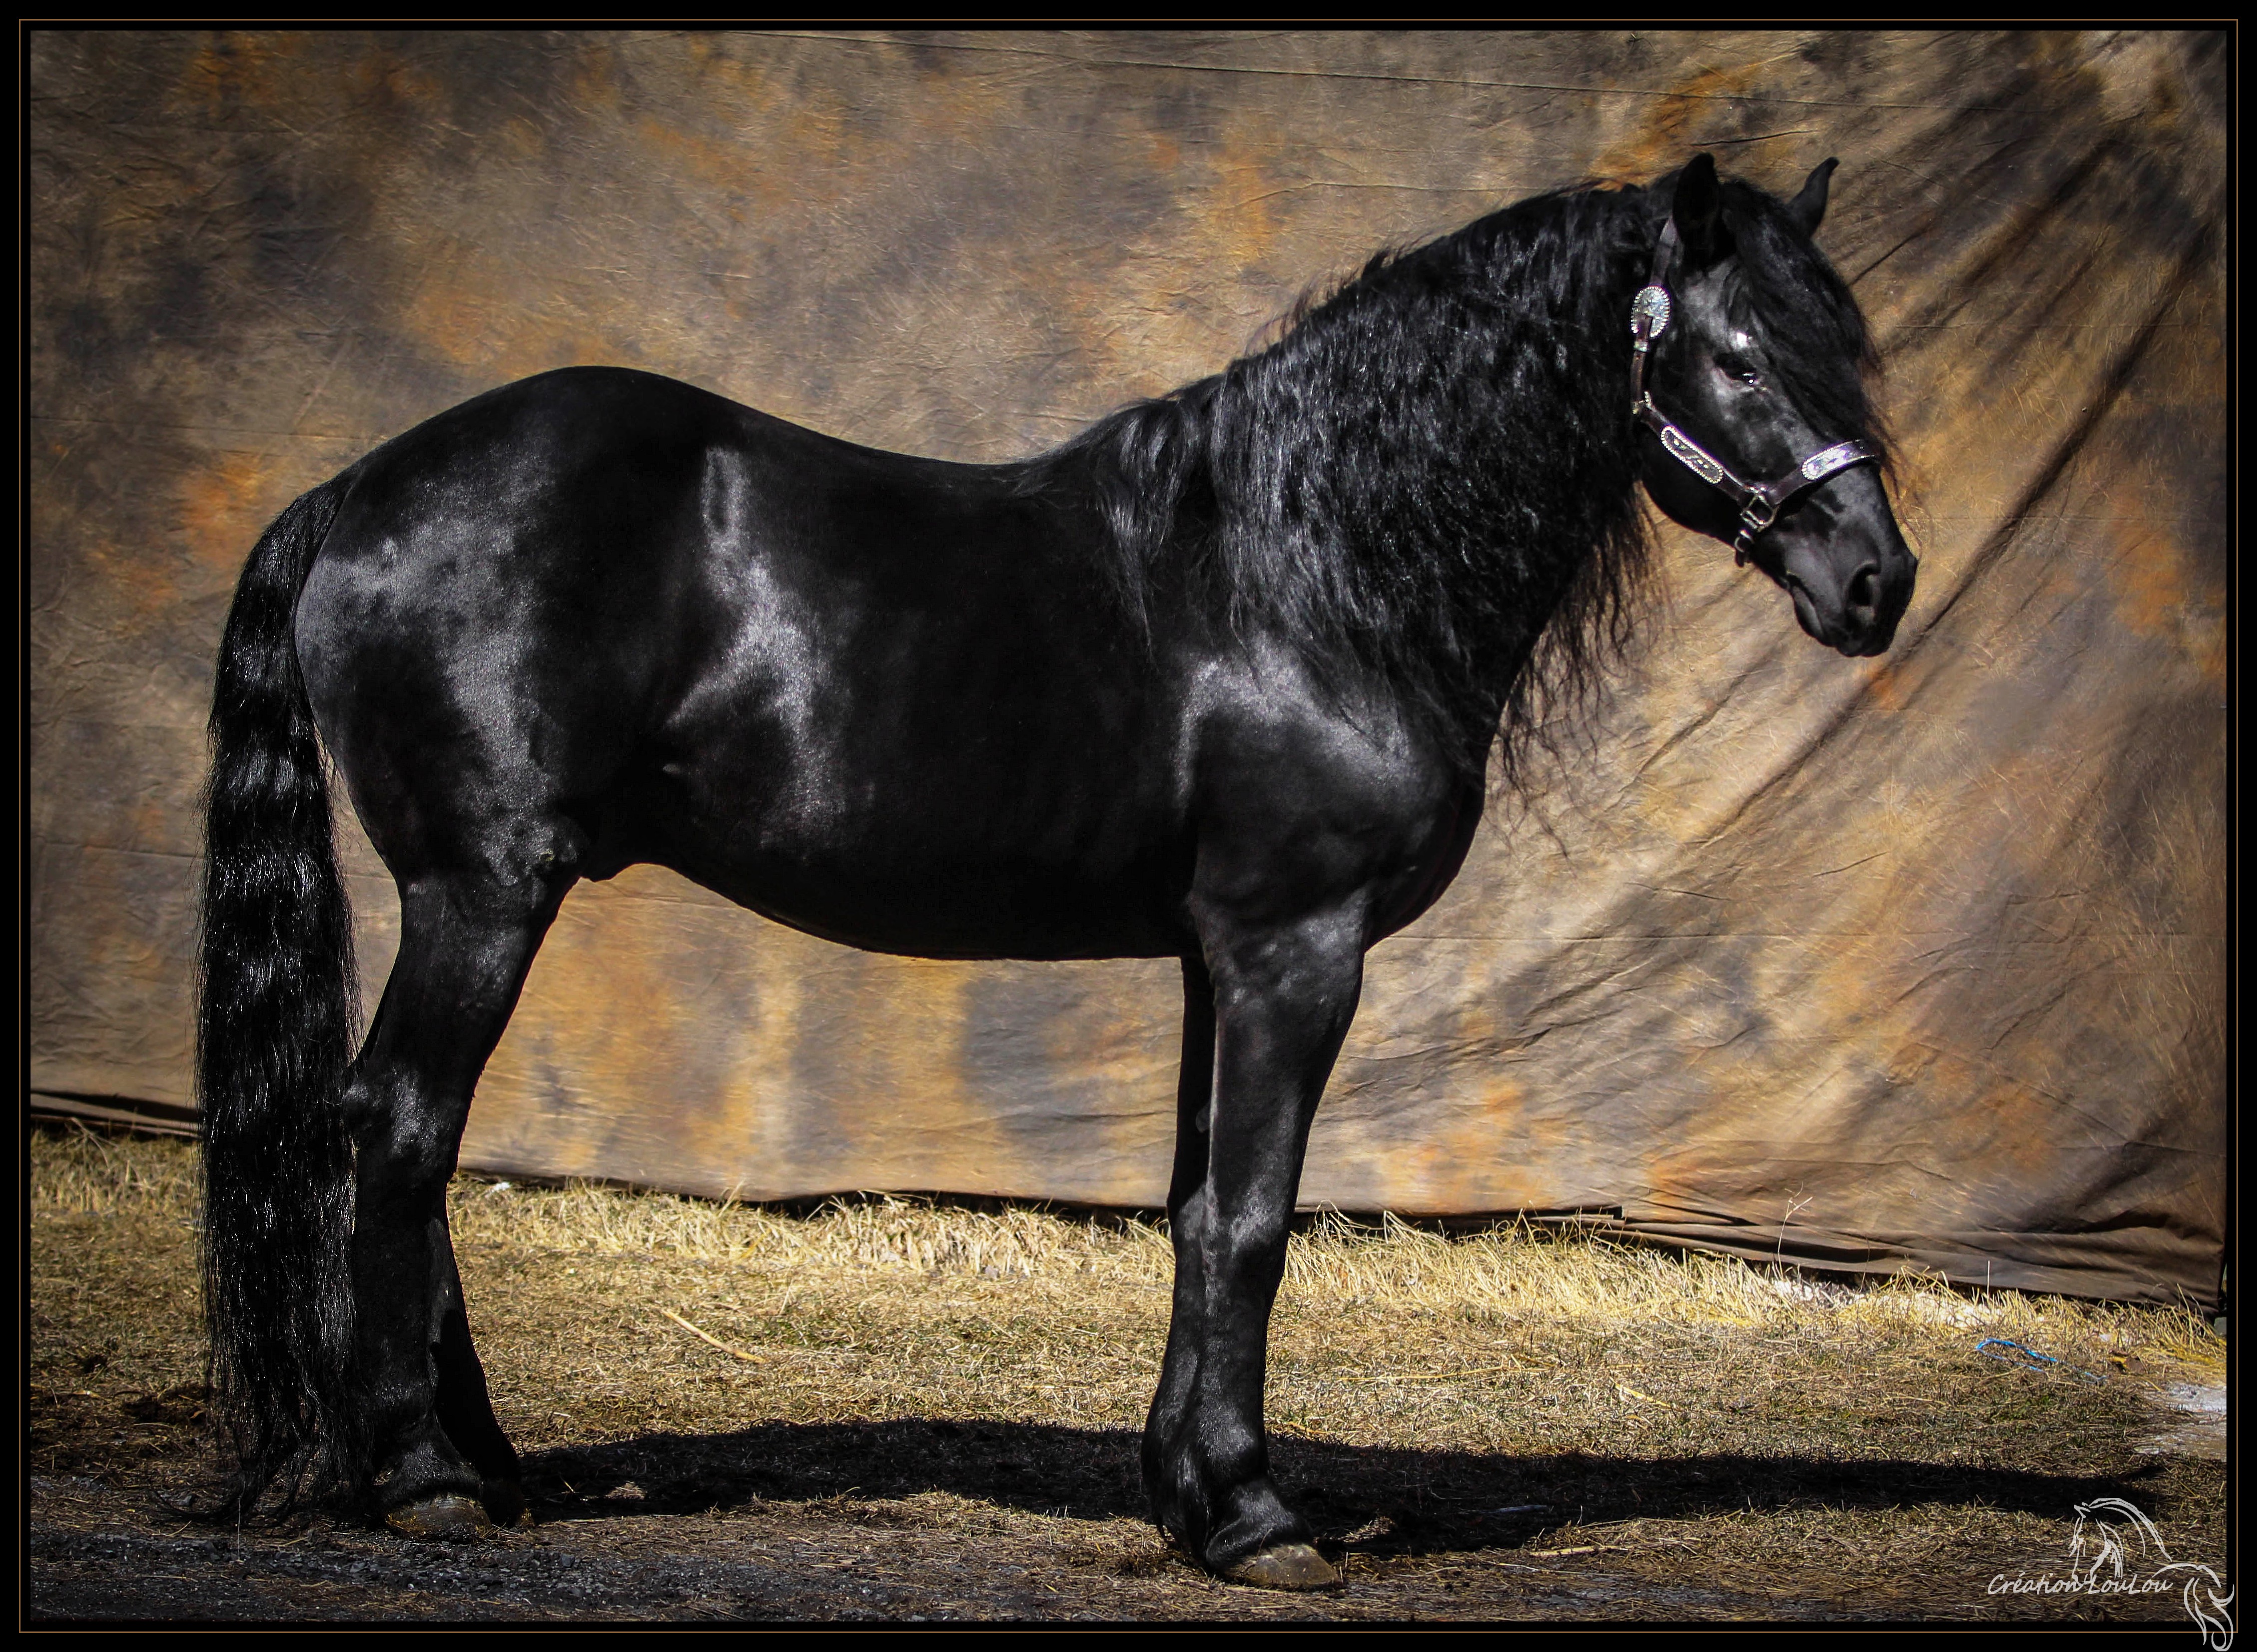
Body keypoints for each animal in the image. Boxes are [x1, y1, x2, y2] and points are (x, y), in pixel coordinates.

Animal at [196, 152, 1915, 1588]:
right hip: (484, 886)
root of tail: (352, 495)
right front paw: (1256, 1517)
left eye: (1843, 352)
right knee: (399, 1122)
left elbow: (1195, 1206)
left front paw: (1190, 1493)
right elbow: (1254, 1218)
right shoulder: (1297, 945)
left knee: (402, 1130)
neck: (1309, 571)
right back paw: (423, 1474)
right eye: (1738, 354)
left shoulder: (1218, 952)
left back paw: (492, 1463)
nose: (1875, 579)